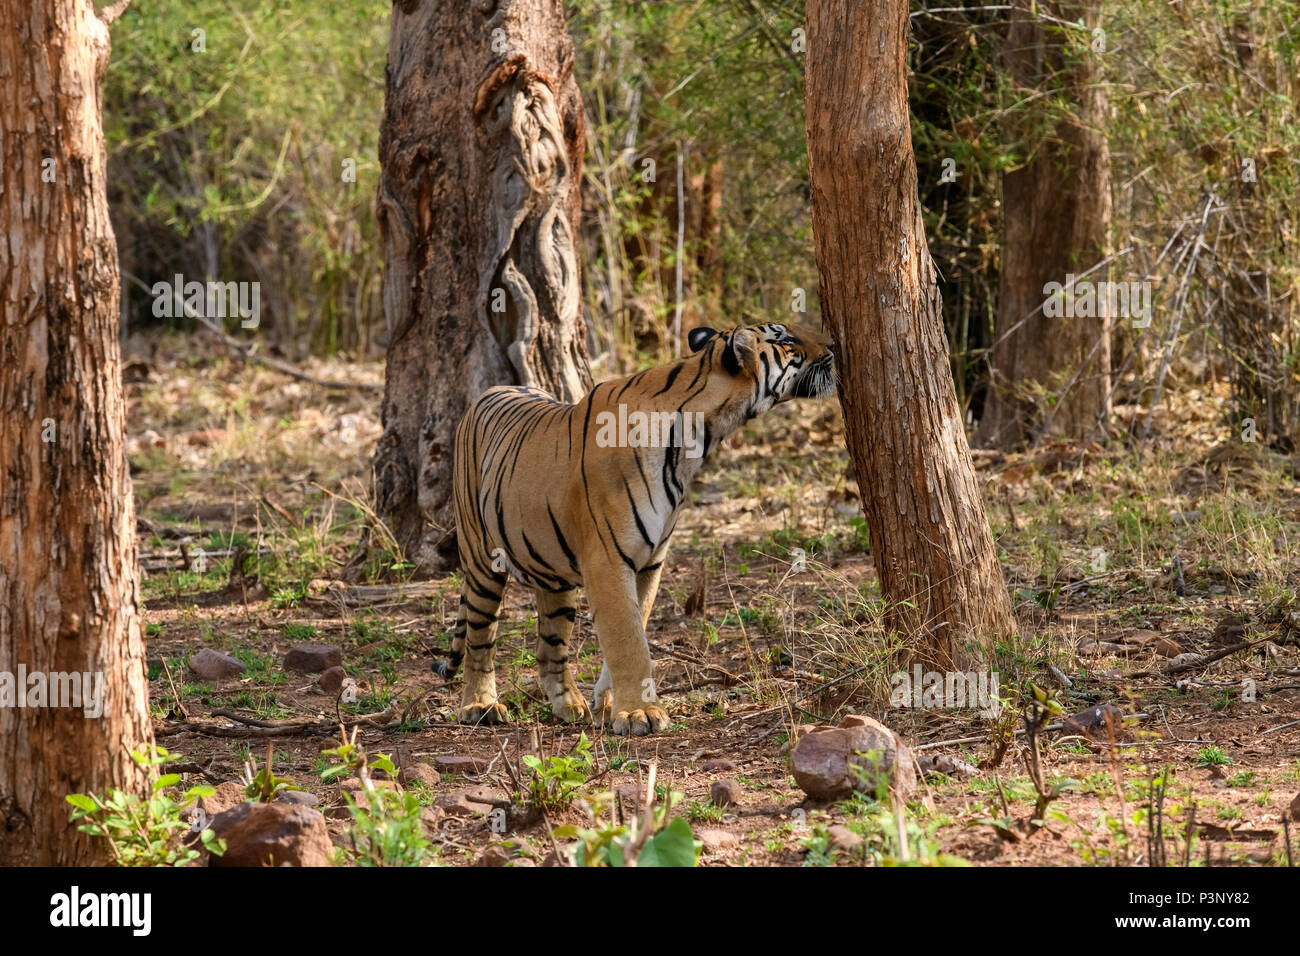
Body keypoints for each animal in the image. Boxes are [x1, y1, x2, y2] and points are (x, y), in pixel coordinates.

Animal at [436, 325, 837, 738]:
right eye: (786, 340)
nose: (834, 347)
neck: (700, 432)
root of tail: (488, 392)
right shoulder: (608, 560)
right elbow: (628, 640)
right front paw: (639, 713)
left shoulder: (650, 561)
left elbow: (635, 627)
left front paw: (608, 702)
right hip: (482, 559)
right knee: (480, 638)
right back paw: (480, 706)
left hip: (553, 574)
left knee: (549, 647)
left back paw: (570, 706)